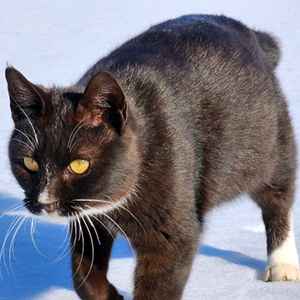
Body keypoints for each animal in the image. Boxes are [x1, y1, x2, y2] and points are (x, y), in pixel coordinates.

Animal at [5, 14, 300, 300]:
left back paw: (282, 265)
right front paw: (109, 295)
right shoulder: (89, 218)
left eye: (79, 165)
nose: (46, 203)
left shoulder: (171, 231)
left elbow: (161, 278)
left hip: (270, 144)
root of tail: (253, 35)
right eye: (30, 163)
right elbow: (83, 274)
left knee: (278, 197)